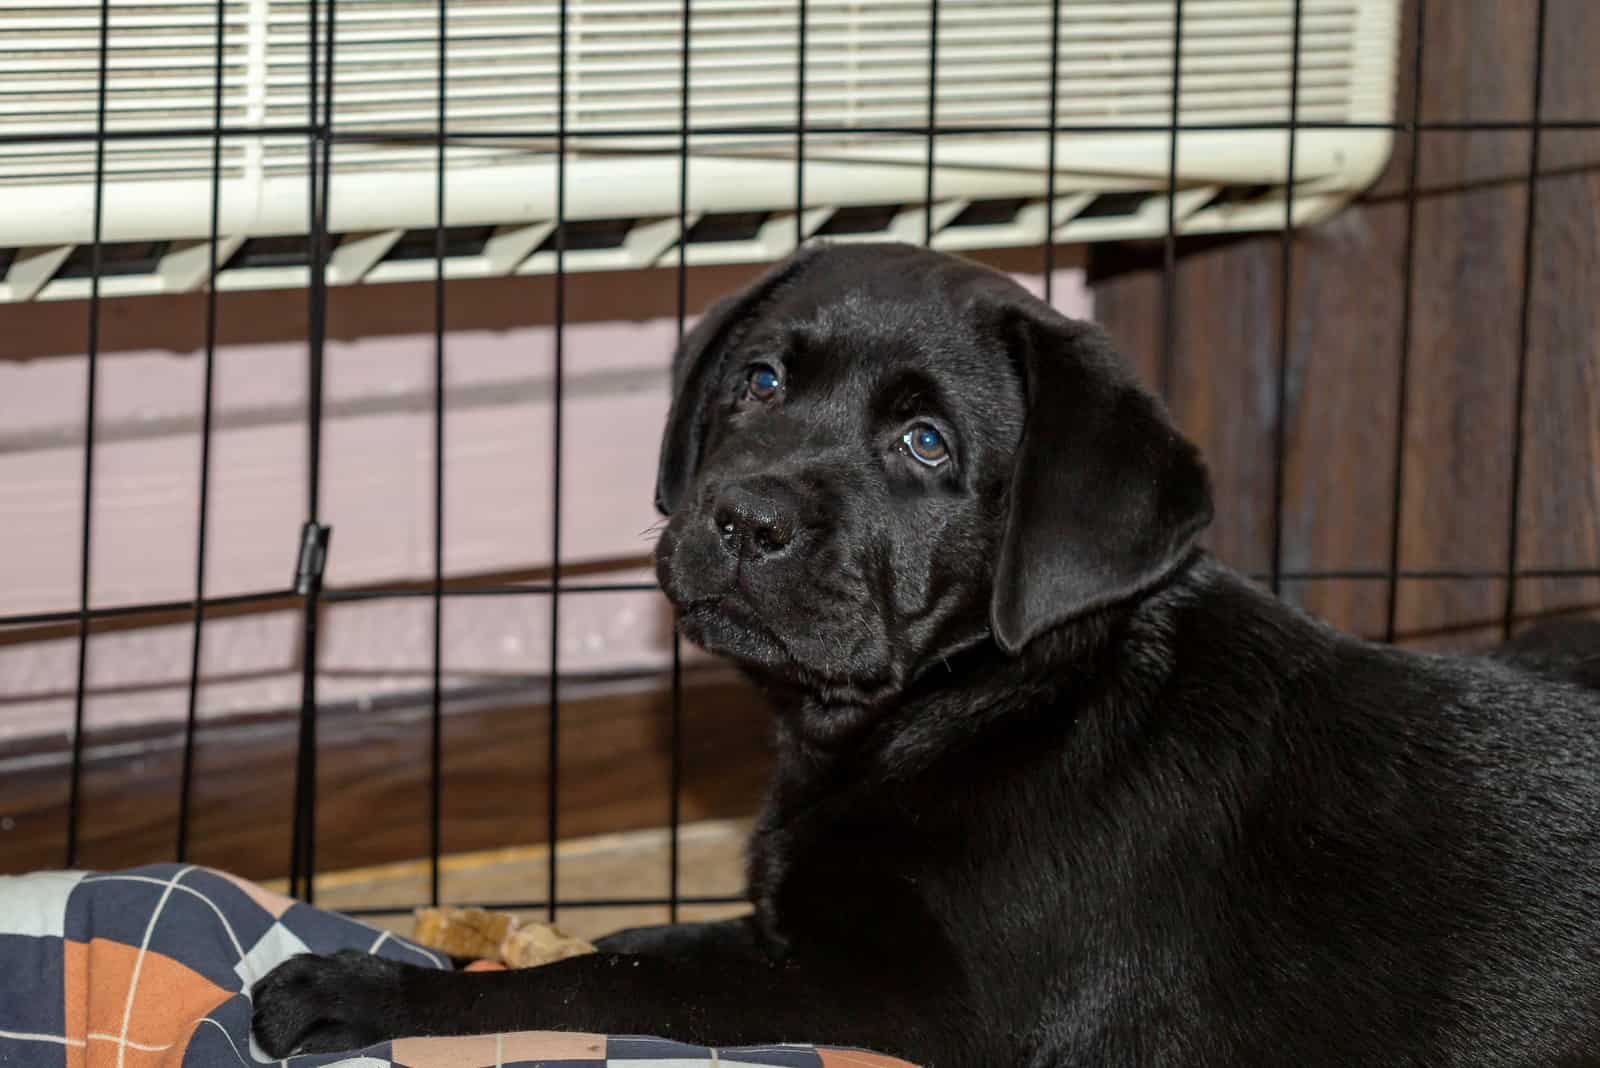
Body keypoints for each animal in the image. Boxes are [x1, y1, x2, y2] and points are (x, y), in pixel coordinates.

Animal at [249, 244, 1600, 1068]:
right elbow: (646, 946)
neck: (998, 699)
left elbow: (605, 983)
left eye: (926, 445)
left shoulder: (905, 1004)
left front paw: (376, 992)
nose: (742, 517)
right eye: (759, 380)